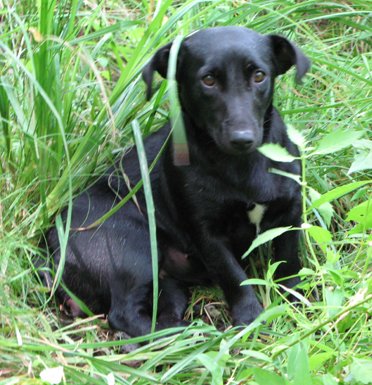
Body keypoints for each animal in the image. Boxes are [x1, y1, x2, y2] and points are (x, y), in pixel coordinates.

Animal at [38, 27, 310, 338]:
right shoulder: (208, 235)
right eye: (208, 80)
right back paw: (195, 334)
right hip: (134, 251)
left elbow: (288, 263)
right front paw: (250, 319)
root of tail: (50, 247)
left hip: (169, 285)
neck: (242, 166)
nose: (242, 138)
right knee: (123, 316)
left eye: (259, 76)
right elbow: (235, 278)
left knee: (157, 313)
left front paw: (297, 302)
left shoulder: (290, 213)